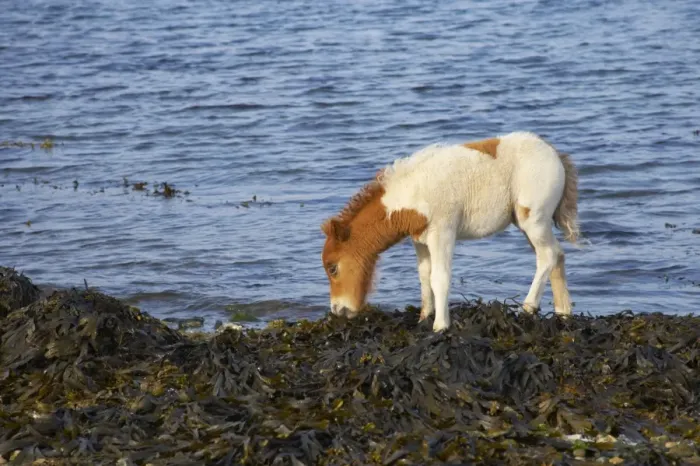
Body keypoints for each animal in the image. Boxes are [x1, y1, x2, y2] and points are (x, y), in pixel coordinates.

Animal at [320, 131, 579, 332]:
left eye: (333, 268)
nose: (338, 310)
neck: (411, 195)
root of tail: (555, 154)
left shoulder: (442, 232)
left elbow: (440, 277)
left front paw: (440, 326)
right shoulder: (420, 240)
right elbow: (424, 276)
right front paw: (424, 318)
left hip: (533, 220)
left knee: (547, 256)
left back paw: (528, 307)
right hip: (528, 223)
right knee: (557, 255)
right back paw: (563, 313)